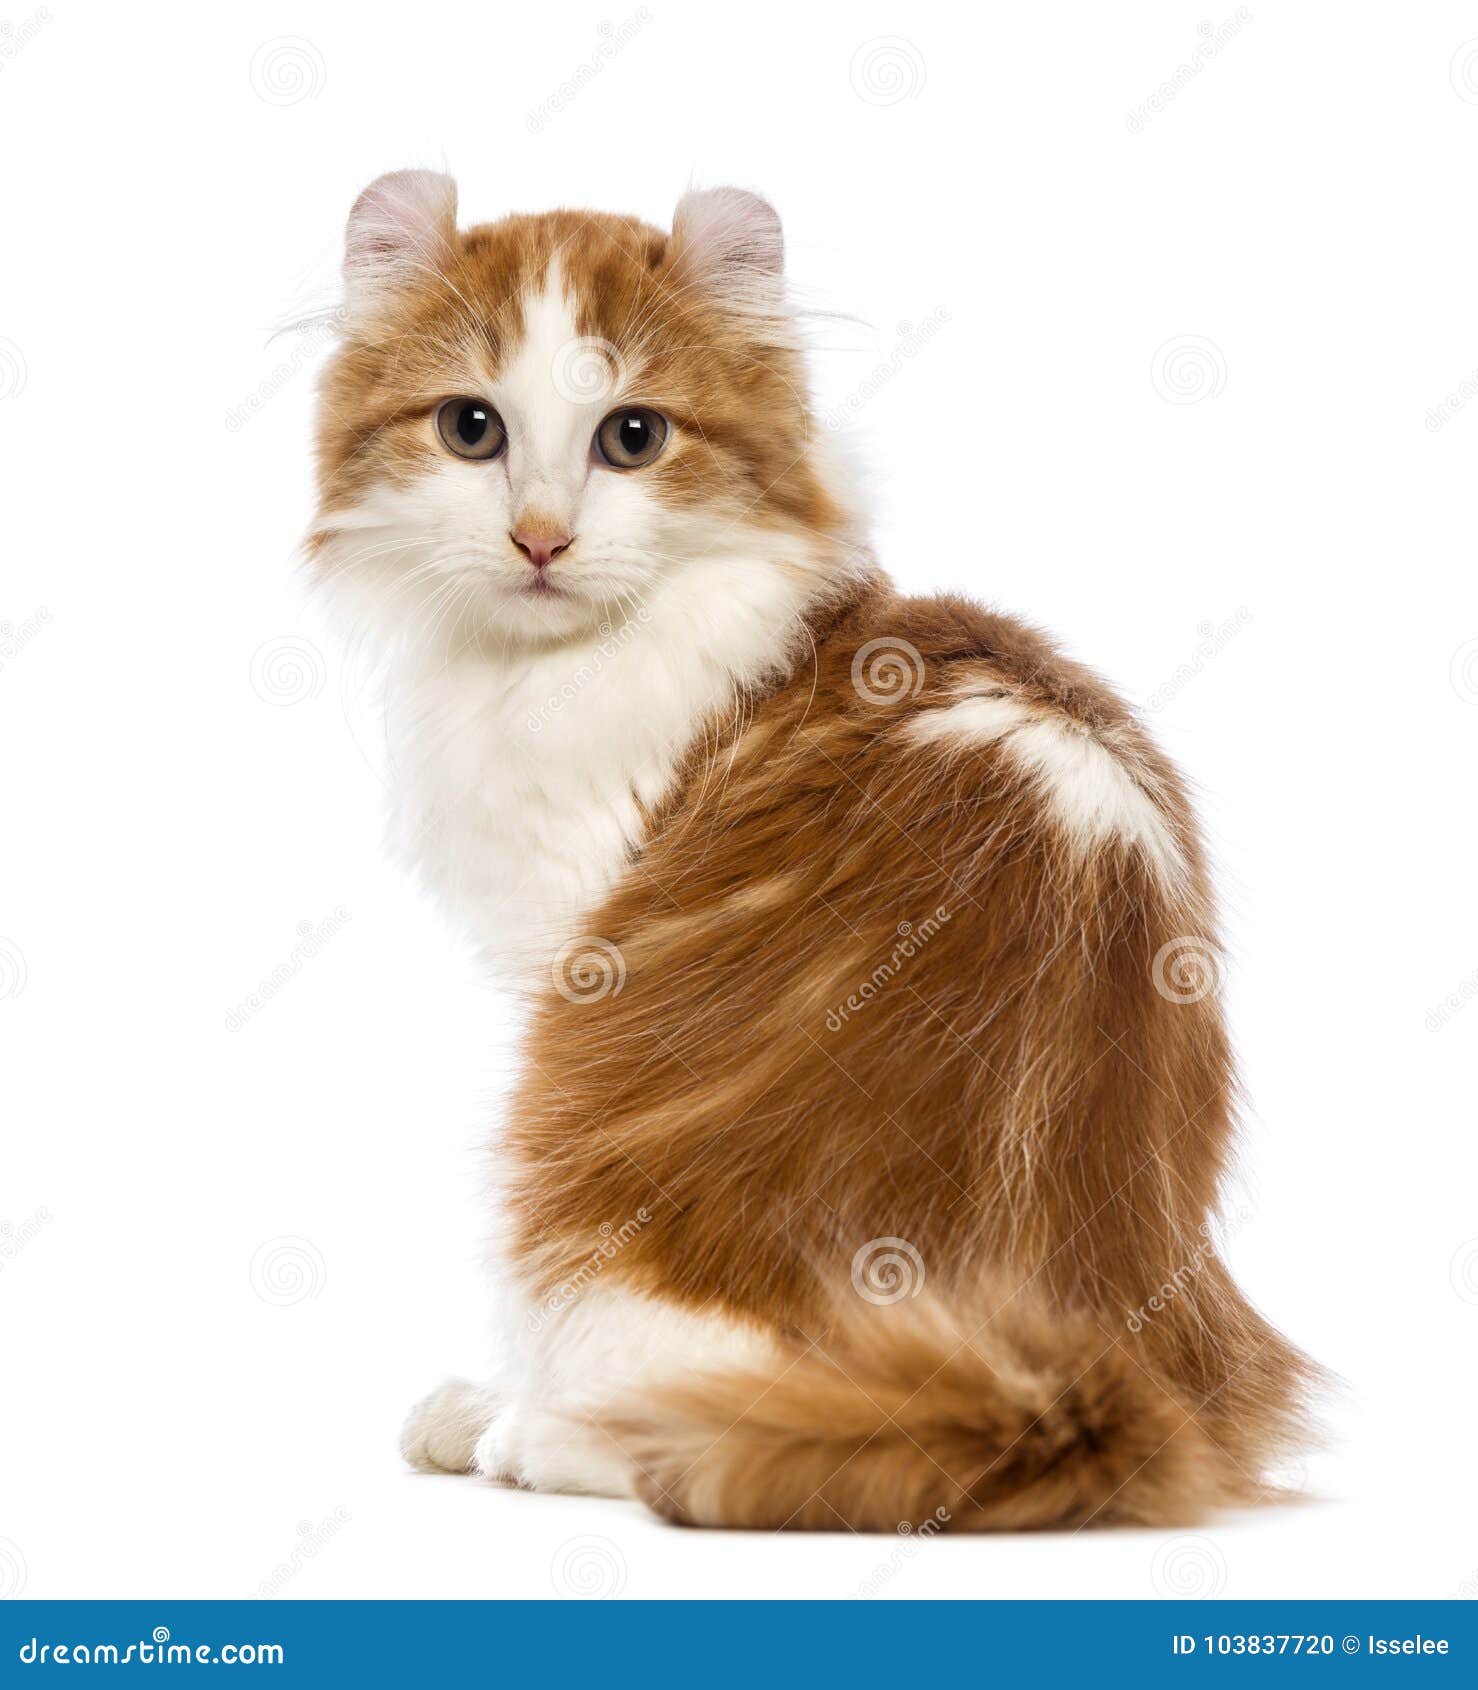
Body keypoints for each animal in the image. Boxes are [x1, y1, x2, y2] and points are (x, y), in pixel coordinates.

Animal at [304, 174, 1317, 1534]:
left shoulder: (571, 937)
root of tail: (1067, 1364)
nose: (539, 539)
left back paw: (533, 1431)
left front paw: (494, 1411)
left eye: (631, 437)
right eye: (472, 429)